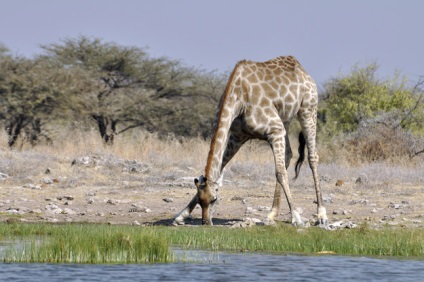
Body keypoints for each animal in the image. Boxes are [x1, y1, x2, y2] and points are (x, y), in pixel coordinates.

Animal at [172, 55, 328, 227]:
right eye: (201, 201)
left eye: (214, 199)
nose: (206, 222)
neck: (238, 98)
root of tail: (301, 68)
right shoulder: (238, 136)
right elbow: (219, 170)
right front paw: (181, 215)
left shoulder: (274, 130)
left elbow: (280, 173)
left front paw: (296, 217)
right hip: (284, 120)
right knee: (288, 155)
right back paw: (271, 214)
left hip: (308, 109)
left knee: (312, 157)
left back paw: (322, 215)